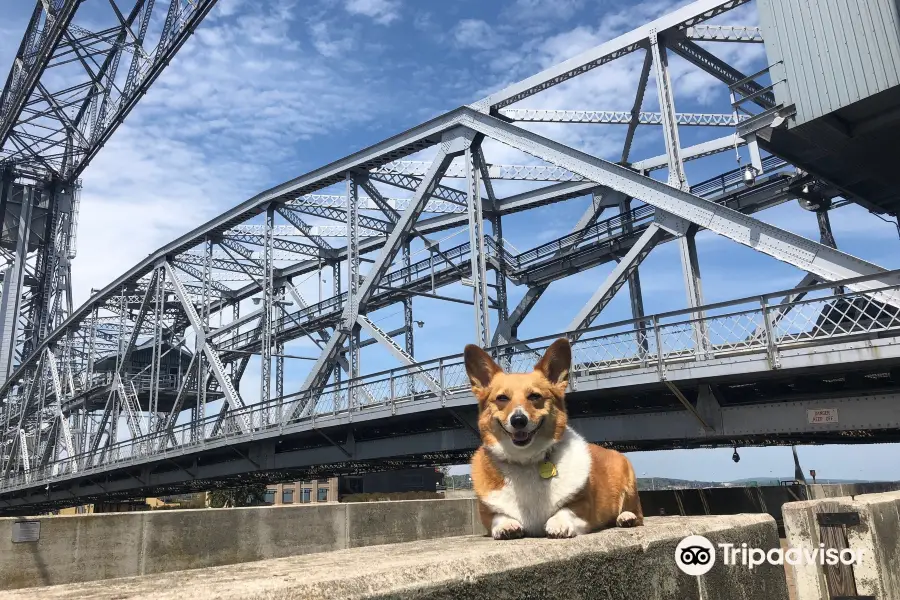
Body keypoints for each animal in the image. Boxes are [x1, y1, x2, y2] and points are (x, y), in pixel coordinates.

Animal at [468, 338, 644, 540]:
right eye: (502, 398)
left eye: (534, 396)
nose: (518, 420)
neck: (526, 460)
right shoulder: (487, 513)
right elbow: (498, 516)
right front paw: (507, 526)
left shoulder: (583, 507)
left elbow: (566, 509)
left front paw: (558, 523)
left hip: (629, 479)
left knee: (637, 513)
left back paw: (626, 517)